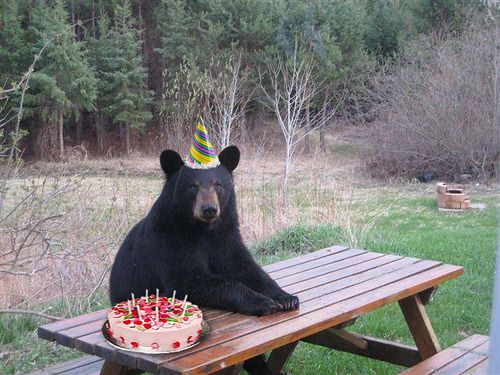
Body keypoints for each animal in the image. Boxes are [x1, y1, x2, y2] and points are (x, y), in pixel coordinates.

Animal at [109, 145, 296, 374]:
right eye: (192, 186)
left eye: (218, 185)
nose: (209, 209)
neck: (203, 230)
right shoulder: (169, 240)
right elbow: (189, 278)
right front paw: (262, 301)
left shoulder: (226, 238)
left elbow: (246, 267)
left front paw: (285, 297)